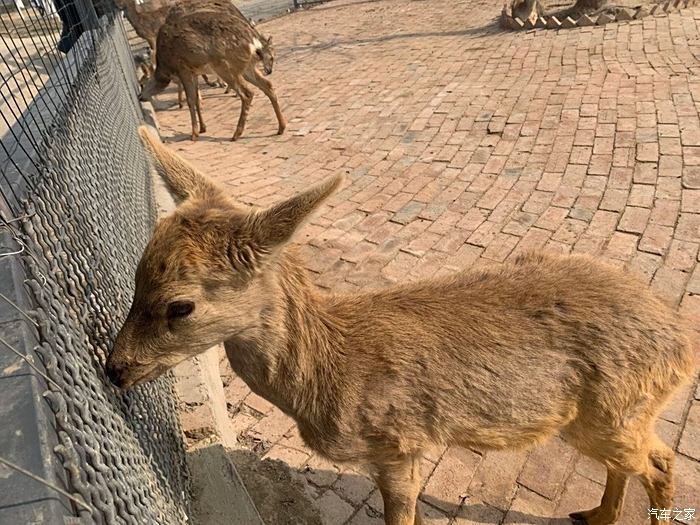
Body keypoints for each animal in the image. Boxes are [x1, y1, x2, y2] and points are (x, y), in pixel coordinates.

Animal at [106, 127, 696, 524]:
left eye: (180, 306)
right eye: (136, 276)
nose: (113, 368)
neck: (329, 376)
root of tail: (684, 346)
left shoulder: (400, 444)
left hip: (615, 409)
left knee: (662, 461)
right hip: (591, 418)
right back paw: (595, 514)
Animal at [138, 0, 284, 141]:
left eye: (142, 83)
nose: (140, 96)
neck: (166, 66)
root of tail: (253, 41)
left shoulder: (183, 69)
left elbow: (191, 100)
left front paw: (194, 134)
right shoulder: (194, 71)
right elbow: (196, 99)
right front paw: (203, 128)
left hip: (225, 65)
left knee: (247, 93)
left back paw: (236, 134)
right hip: (246, 66)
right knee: (267, 85)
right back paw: (281, 128)